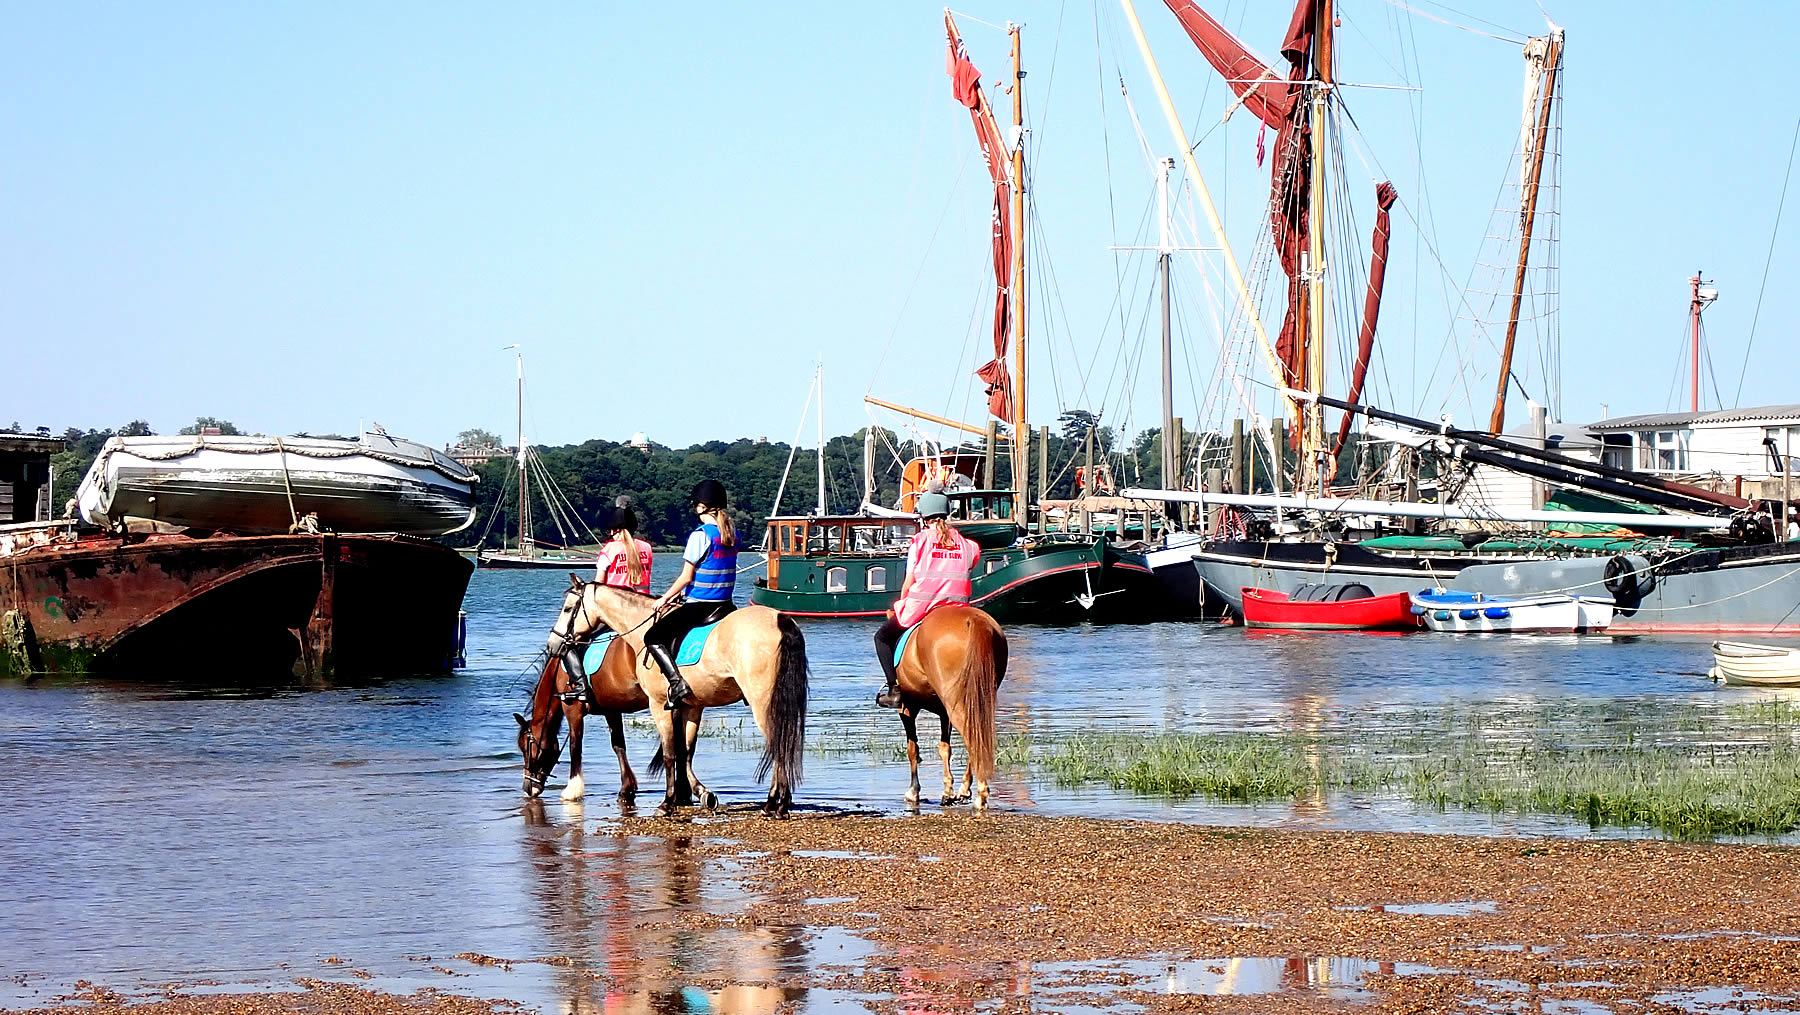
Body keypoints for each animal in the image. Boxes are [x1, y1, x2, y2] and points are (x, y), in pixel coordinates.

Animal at [514, 629, 720, 807]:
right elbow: (618, 746)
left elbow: (575, 747)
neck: (559, 672)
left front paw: (572, 790)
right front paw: (627, 788)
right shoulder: (611, 709)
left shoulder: (573, 710)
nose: (527, 787)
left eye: (526, 747)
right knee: (685, 748)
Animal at [547, 575, 809, 817]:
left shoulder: (658, 705)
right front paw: (688, 795)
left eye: (567, 609)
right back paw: (777, 803)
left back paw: (776, 804)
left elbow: (669, 753)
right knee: (782, 743)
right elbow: (685, 751)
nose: (553, 643)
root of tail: (779, 619)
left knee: (778, 744)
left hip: (763, 704)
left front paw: (668, 802)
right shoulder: (690, 706)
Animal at [887, 605, 1006, 812]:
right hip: (975, 701)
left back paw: (980, 795)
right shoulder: (944, 713)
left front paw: (914, 791)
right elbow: (945, 748)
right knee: (978, 737)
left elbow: (912, 750)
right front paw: (948, 791)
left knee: (972, 737)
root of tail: (975, 619)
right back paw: (966, 789)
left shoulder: (907, 707)